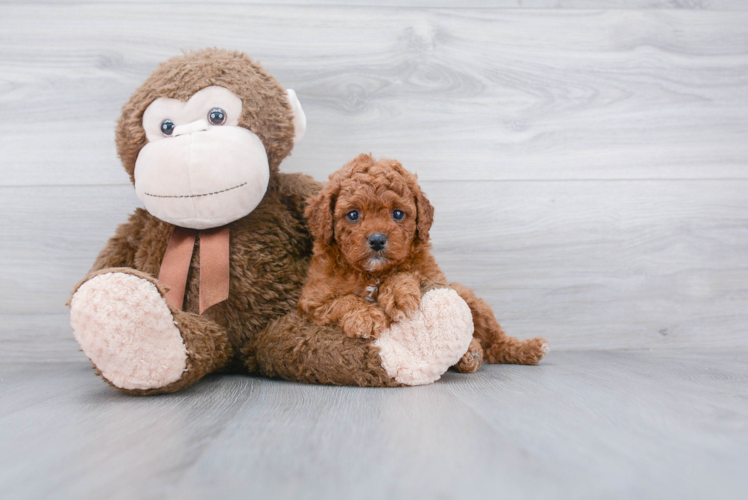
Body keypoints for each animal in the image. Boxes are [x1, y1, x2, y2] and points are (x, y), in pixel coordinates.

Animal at [300, 153, 548, 372]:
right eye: (353, 214)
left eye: (398, 214)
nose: (378, 240)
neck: (373, 272)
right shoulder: (313, 300)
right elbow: (344, 300)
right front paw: (367, 316)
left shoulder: (431, 275)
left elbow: (406, 272)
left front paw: (398, 295)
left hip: (470, 299)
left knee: (494, 341)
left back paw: (521, 349)